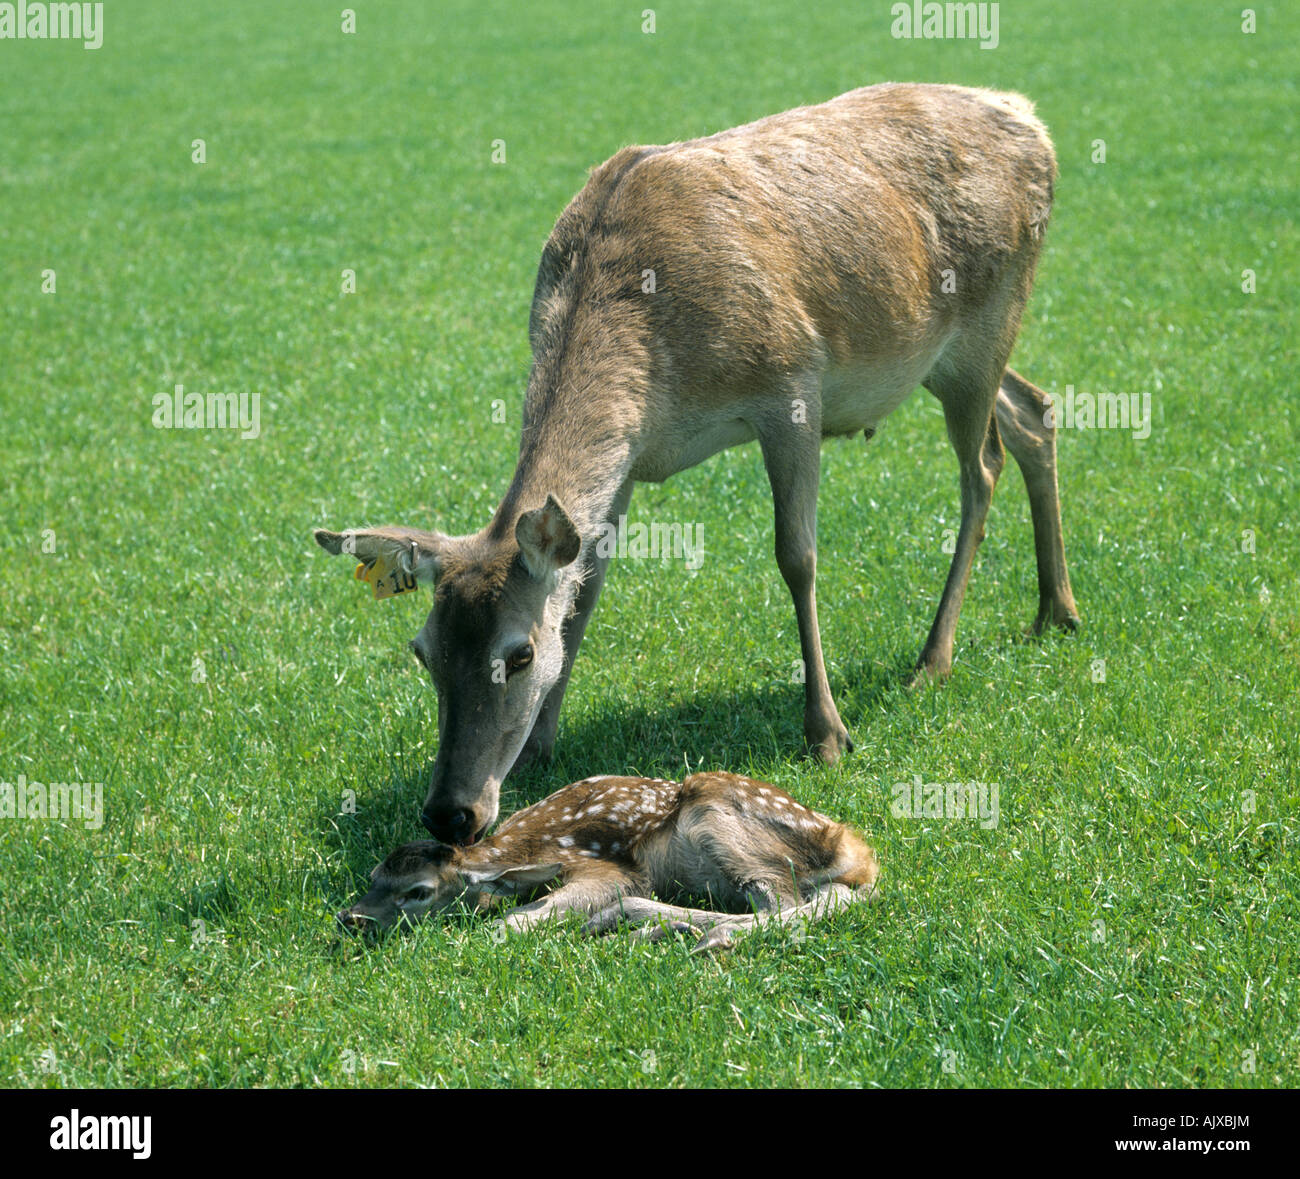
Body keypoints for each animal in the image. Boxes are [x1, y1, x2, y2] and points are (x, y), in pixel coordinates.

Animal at [315, 82, 1080, 846]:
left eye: (519, 653)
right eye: (423, 650)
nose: (451, 814)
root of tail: (1032, 120)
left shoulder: (793, 382)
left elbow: (797, 556)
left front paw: (827, 733)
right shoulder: (626, 466)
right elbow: (585, 590)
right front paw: (540, 746)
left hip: (991, 314)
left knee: (983, 466)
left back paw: (933, 659)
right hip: (952, 357)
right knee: (1035, 410)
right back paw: (1056, 610)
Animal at [337, 771, 880, 953]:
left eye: (419, 893)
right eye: (373, 875)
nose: (350, 917)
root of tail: (856, 853)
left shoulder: (606, 866)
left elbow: (511, 921)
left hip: (719, 825)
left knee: (787, 903)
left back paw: (696, 936)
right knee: (823, 896)